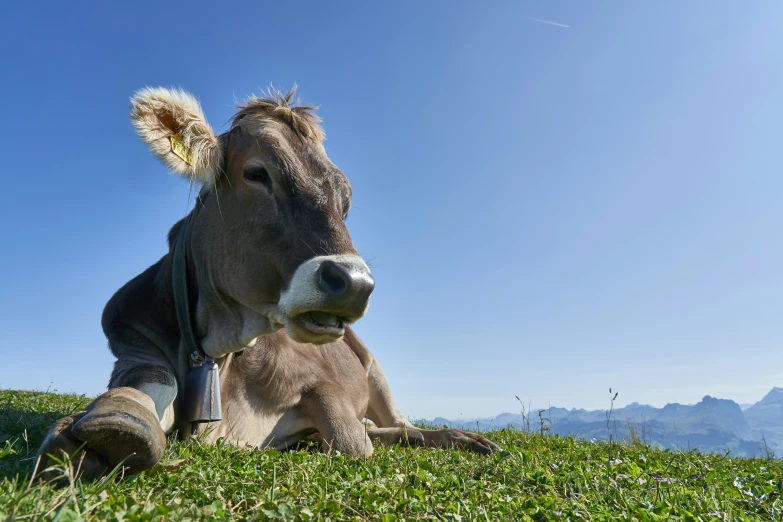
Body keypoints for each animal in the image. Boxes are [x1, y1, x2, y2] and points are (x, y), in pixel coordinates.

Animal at [33, 86, 500, 480]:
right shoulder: (132, 344)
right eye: (257, 174)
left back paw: (456, 437)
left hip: (375, 371)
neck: (218, 348)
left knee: (396, 424)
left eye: (346, 200)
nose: (354, 283)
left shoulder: (319, 381)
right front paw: (105, 431)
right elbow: (147, 385)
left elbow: (350, 441)